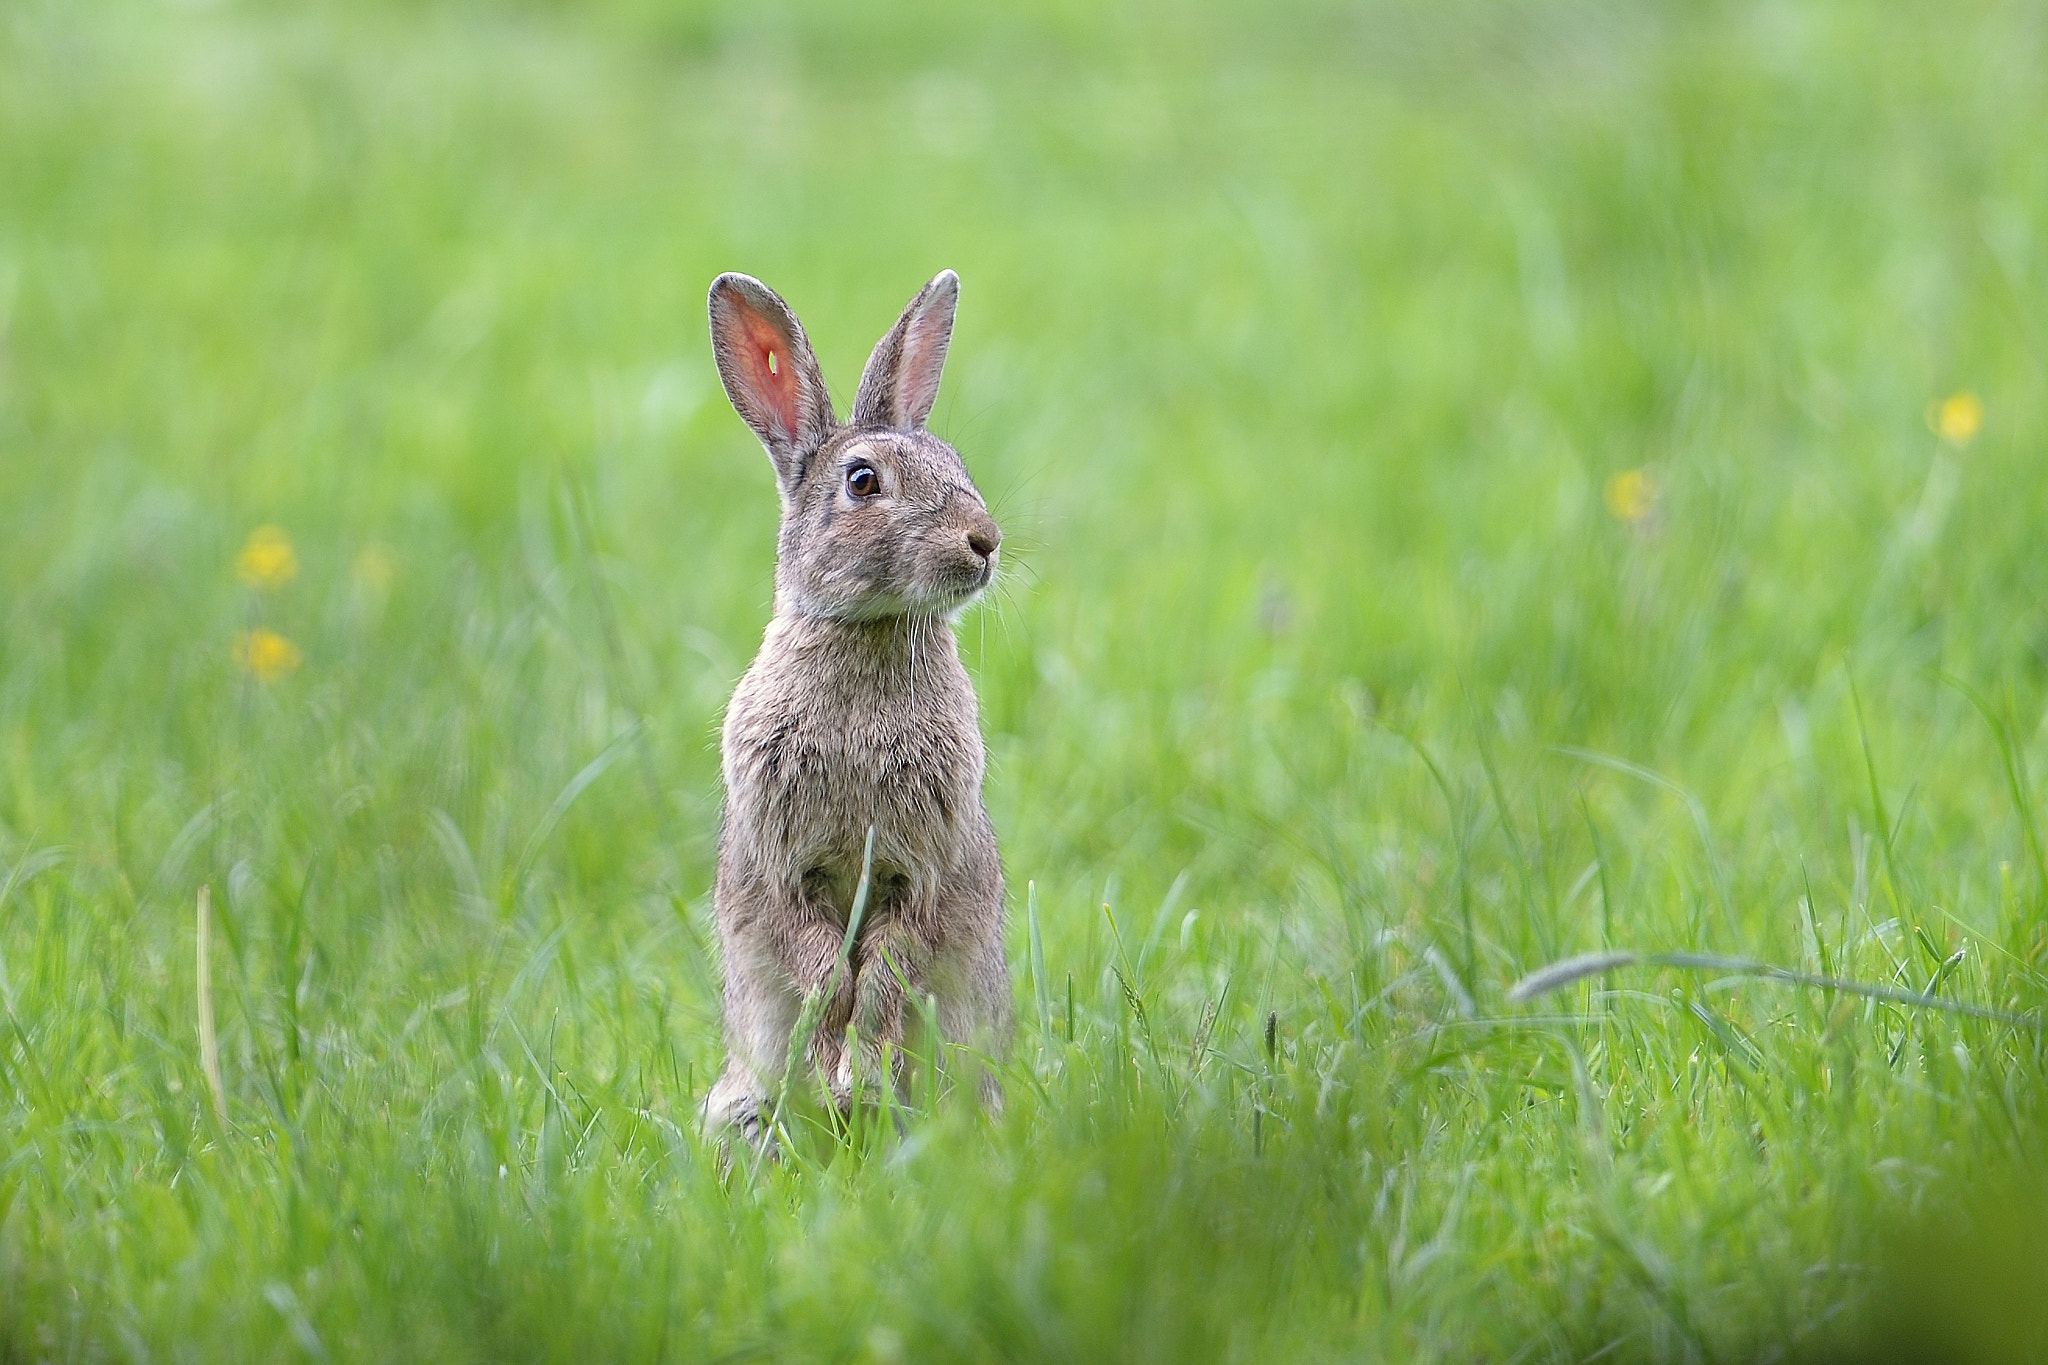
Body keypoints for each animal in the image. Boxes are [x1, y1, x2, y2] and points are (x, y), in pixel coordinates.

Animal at [700, 270, 1011, 1146]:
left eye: (955, 463)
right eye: (863, 481)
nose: (985, 540)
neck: (869, 630)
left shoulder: (918, 868)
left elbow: (883, 973)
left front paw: (859, 1081)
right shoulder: (786, 860)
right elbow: (820, 969)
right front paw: (840, 1078)